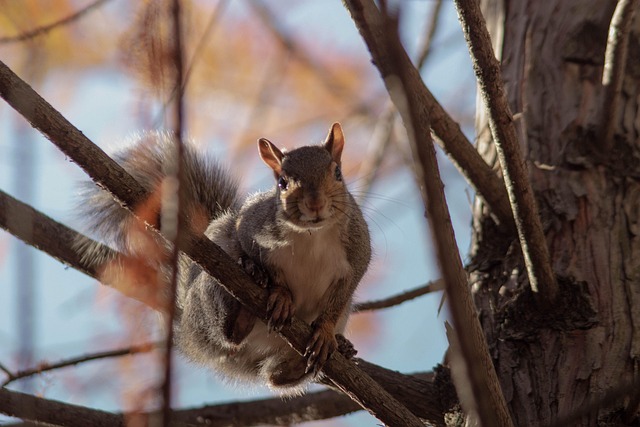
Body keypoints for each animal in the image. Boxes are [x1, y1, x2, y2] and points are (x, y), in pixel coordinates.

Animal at [77, 123, 371, 394]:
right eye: (282, 183)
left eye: (337, 173)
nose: (315, 204)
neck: (312, 234)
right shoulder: (251, 227)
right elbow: (258, 257)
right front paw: (279, 293)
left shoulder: (357, 253)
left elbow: (342, 293)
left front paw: (325, 332)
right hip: (209, 291)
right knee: (229, 333)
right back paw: (246, 299)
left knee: (276, 377)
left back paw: (323, 355)